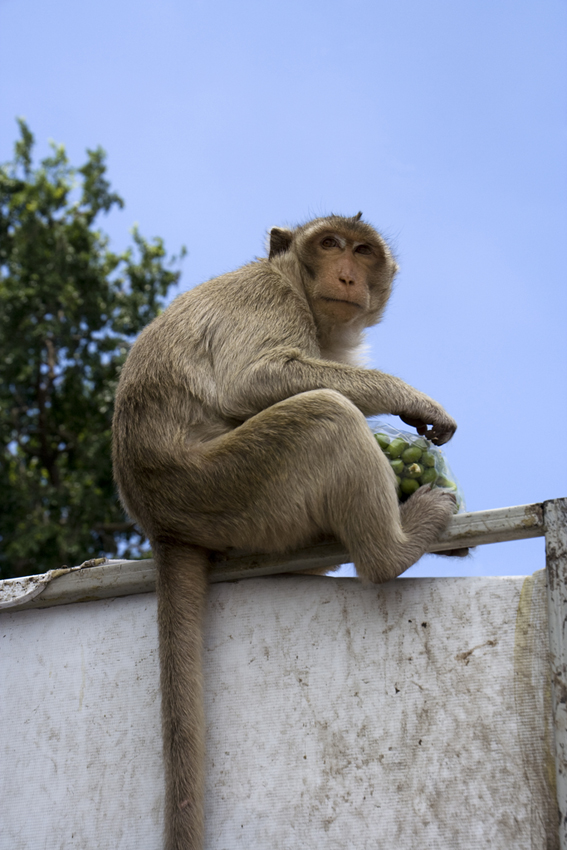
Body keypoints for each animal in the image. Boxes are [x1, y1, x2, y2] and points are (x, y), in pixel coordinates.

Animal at [112, 212, 462, 848]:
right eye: (329, 244)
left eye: (363, 251)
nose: (346, 273)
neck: (294, 284)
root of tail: (161, 523)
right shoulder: (269, 303)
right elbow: (258, 378)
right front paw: (412, 398)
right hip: (231, 485)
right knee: (326, 413)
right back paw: (394, 548)